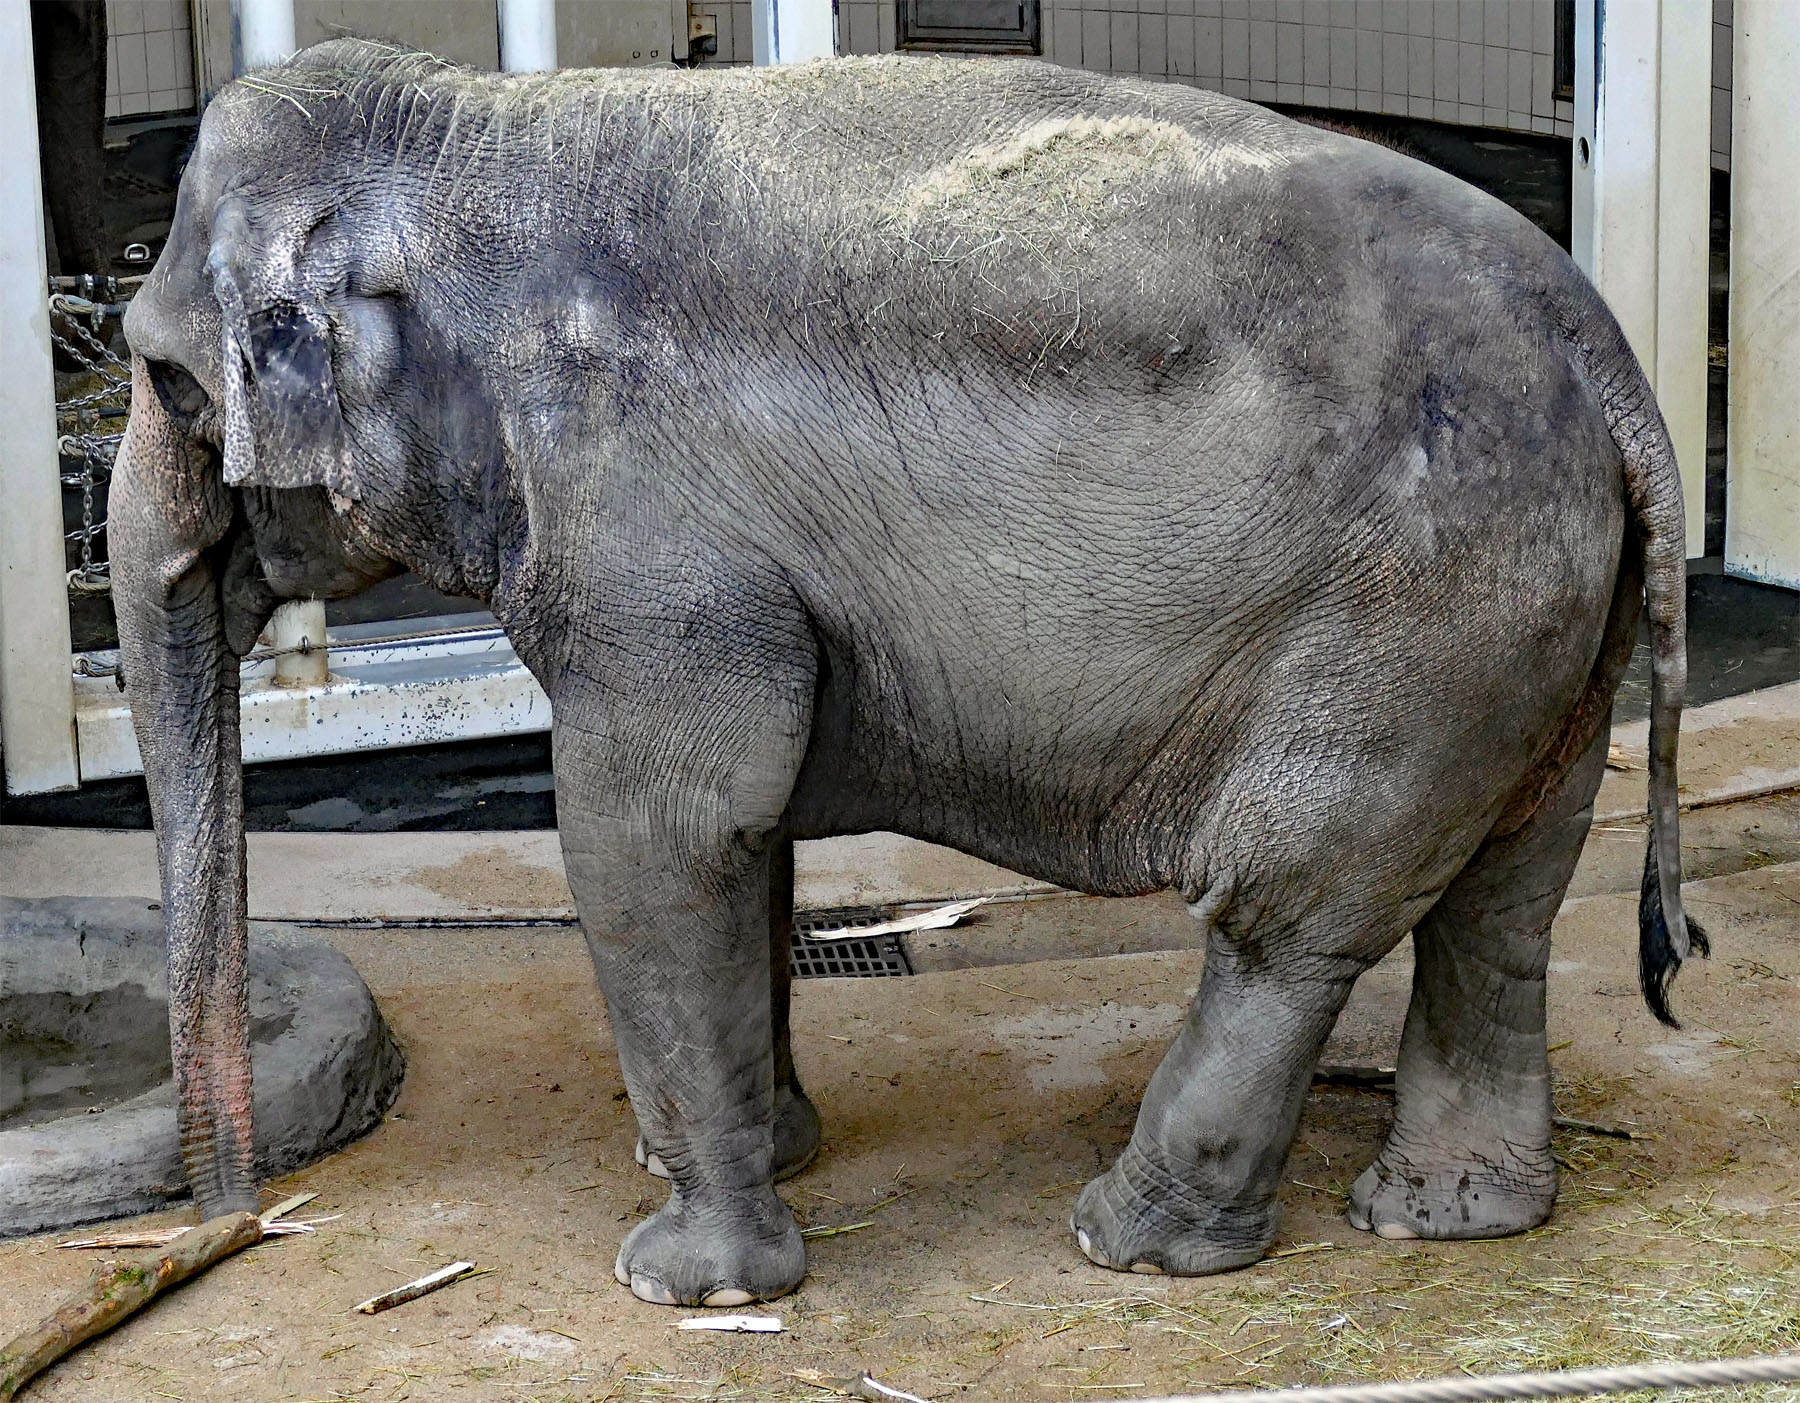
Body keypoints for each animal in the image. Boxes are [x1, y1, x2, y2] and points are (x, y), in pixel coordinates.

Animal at [111, 40, 1707, 1308]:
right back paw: (1447, 1214)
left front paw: (687, 1282)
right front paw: (775, 1150)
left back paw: (1131, 1241)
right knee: (1507, 894)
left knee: (1289, 915)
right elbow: (742, 840)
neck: (478, 127)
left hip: (1413, 611)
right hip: (1531, 618)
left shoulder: (649, 534)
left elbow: (655, 836)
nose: (229, 1218)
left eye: (167, 380)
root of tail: (1605, 349)